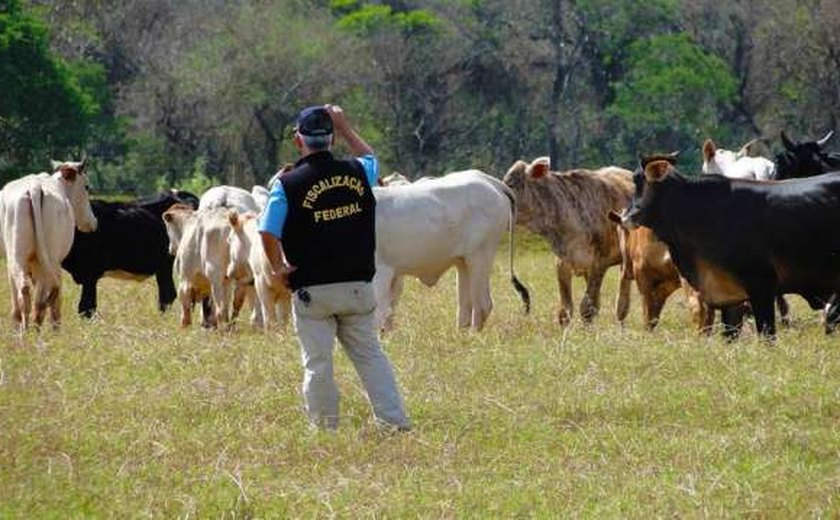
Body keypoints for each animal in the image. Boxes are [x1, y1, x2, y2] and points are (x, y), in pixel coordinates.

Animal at [1, 159, 97, 330]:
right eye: (87, 187)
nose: (93, 222)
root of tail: (35, 187)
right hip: (48, 261)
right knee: (42, 299)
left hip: (20, 259)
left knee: (28, 294)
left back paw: (27, 331)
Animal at [372, 171, 528, 334]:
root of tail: (489, 181)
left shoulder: (381, 273)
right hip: (463, 262)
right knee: (465, 306)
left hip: (480, 256)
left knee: (483, 304)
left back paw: (473, 336)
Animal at [502, 156, 632, 324]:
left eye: (511, 184)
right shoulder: (562, 263)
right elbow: (565, 310)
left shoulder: (599, 264)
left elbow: (587, 309)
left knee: (621, 304)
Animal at [620, 156, 840, 340]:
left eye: (638, 182)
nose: (625, 216)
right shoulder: (730, 297)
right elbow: (729, 334)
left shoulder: (762, 285)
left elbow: (767, 335)